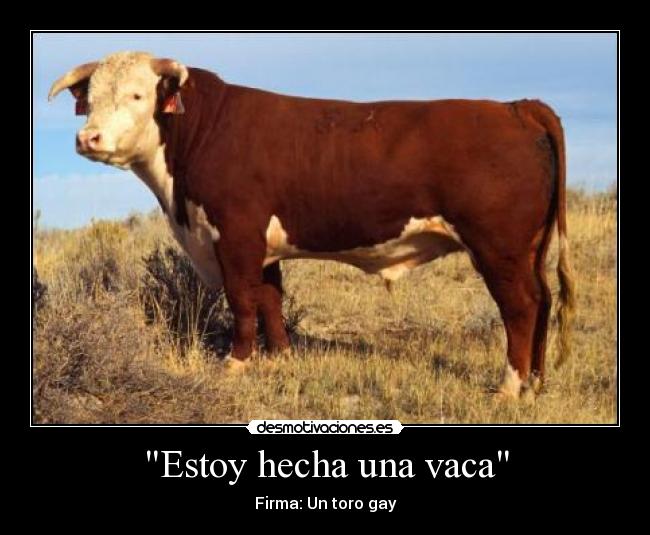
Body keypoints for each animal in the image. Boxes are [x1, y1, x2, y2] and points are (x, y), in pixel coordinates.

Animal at [49, 51, 575, 398]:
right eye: (90, 98)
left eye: (137, 94)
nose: (88, 138)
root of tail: (516, 107)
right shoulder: (261, 245)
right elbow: (270, 301)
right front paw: (280, 357)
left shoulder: (236, 233)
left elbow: (242, 301)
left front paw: (235, 364)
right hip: (530, 248)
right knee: (544, 300)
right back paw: (536, 382)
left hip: (499, 247)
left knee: (521, 307)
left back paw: (509, 387)